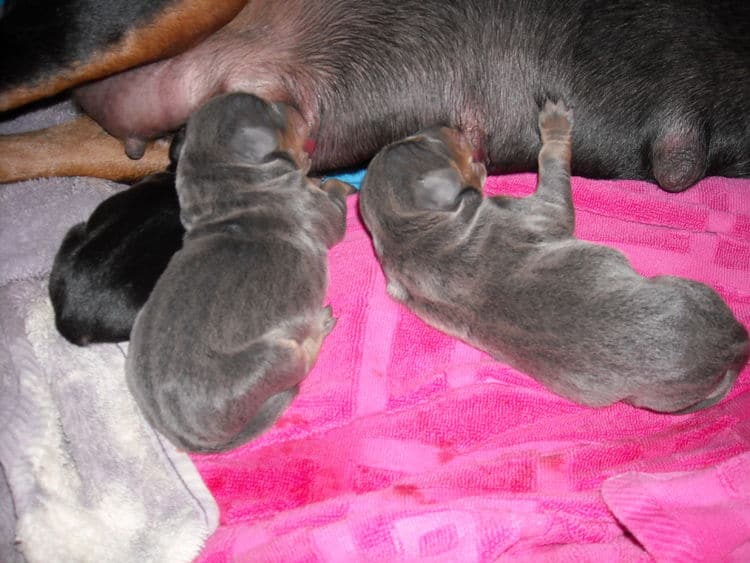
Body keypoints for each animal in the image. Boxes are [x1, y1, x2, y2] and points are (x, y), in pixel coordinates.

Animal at [128, 93, 354, 454]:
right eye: (275, 110)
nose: (293, 104)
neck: (227, 187)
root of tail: (186, 436)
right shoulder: (318, 209)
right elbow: (332, 198)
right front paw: (333, 181)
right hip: (274, 356)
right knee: (299, 363)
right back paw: (319, 325)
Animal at [362, 101, 748, 414]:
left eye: (416, 136)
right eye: (434, 144)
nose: (450, 124)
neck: (410, 233)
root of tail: (733, 344)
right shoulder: (541, 212)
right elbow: (552, 168)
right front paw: (554, 124)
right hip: (688, 294)